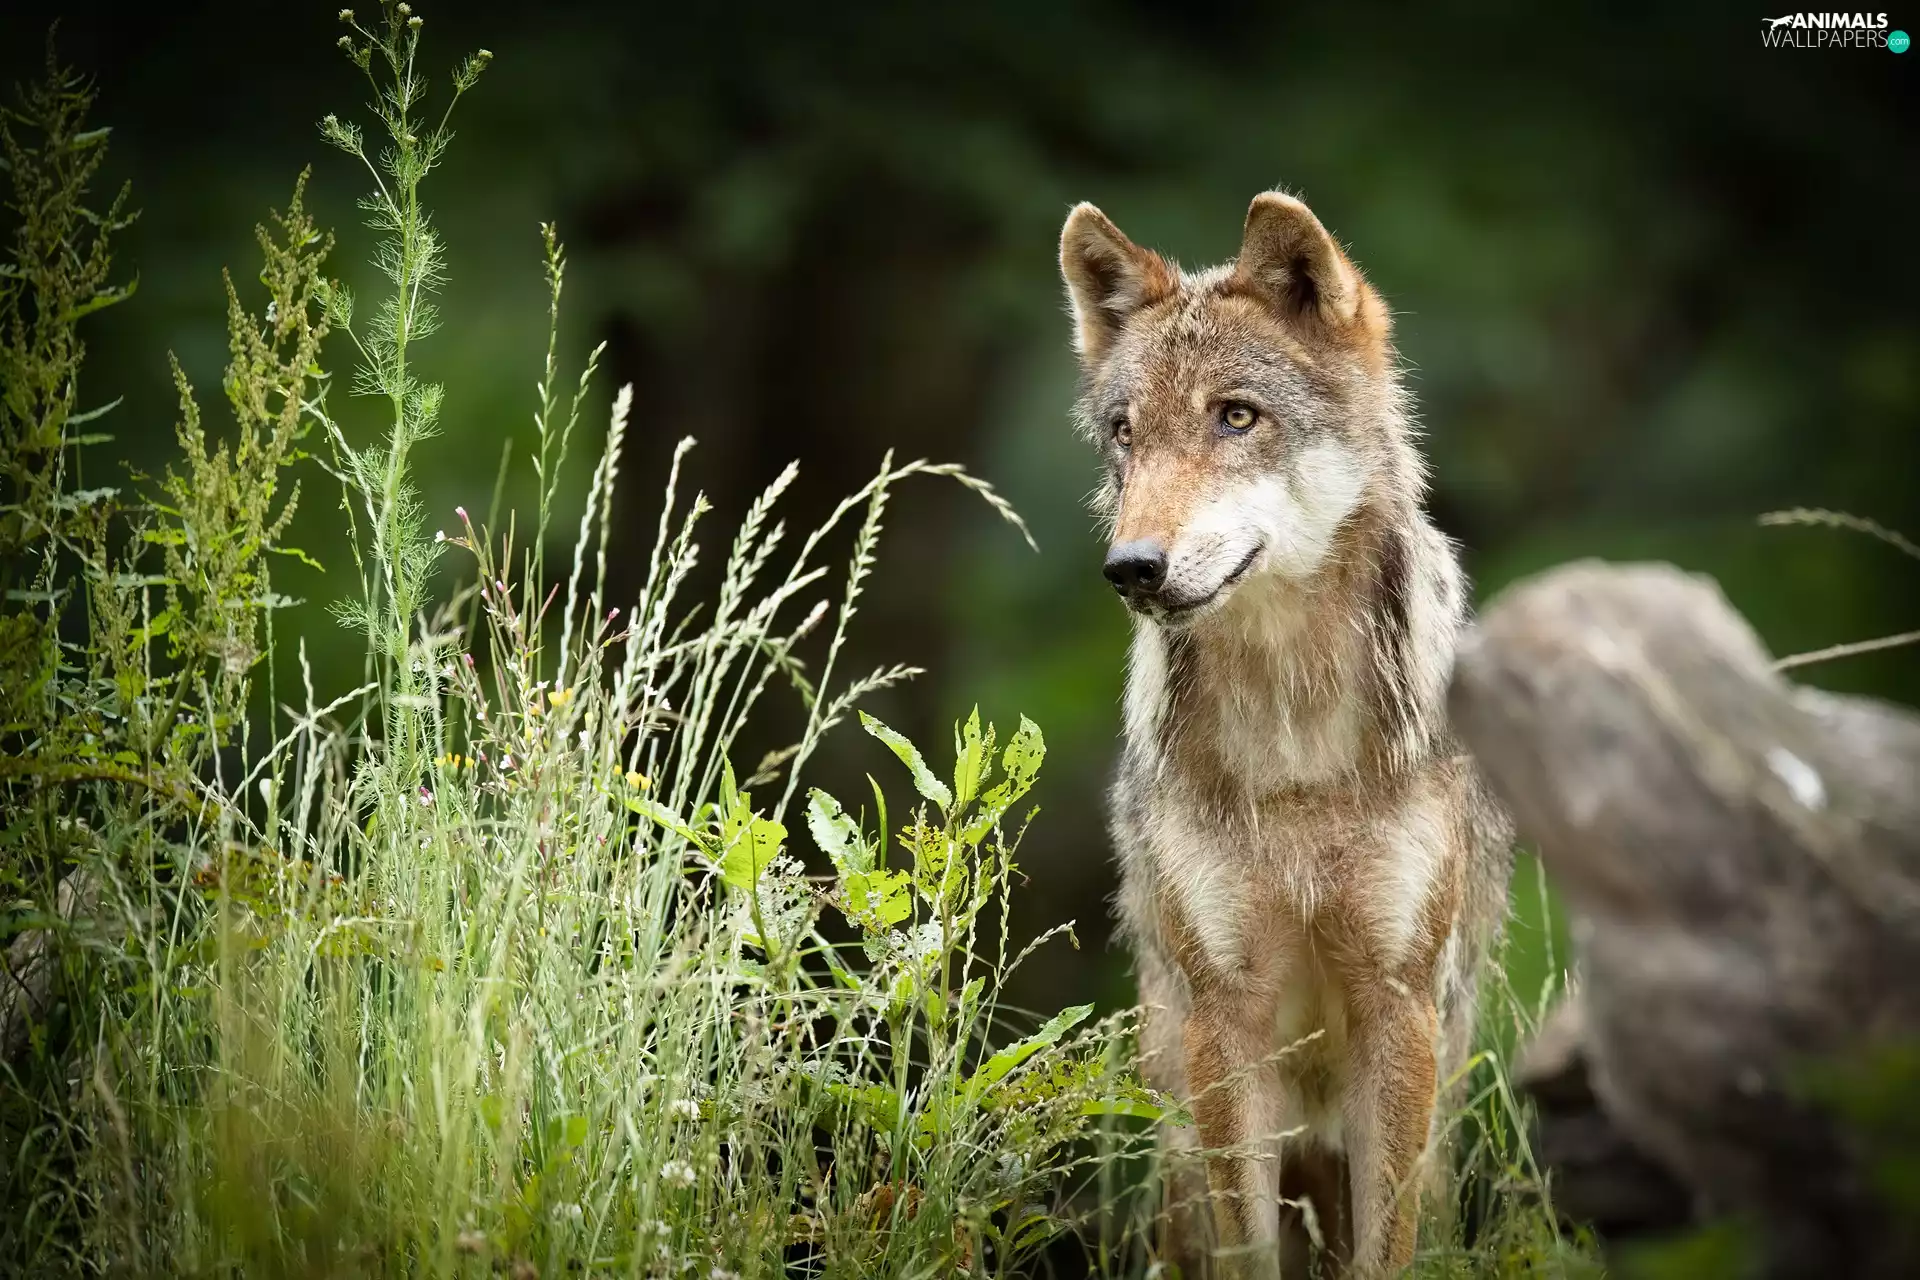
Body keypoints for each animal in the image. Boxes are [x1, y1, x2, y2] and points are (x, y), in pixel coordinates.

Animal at [1058, 192, 1513, 1278]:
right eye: (1125, 433)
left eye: (1236, 416)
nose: (1132, 566)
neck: (1295, 742)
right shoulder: (1227, 1015)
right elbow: (1248, 1248)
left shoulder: (1397, 1005)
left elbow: (1386, 1252)